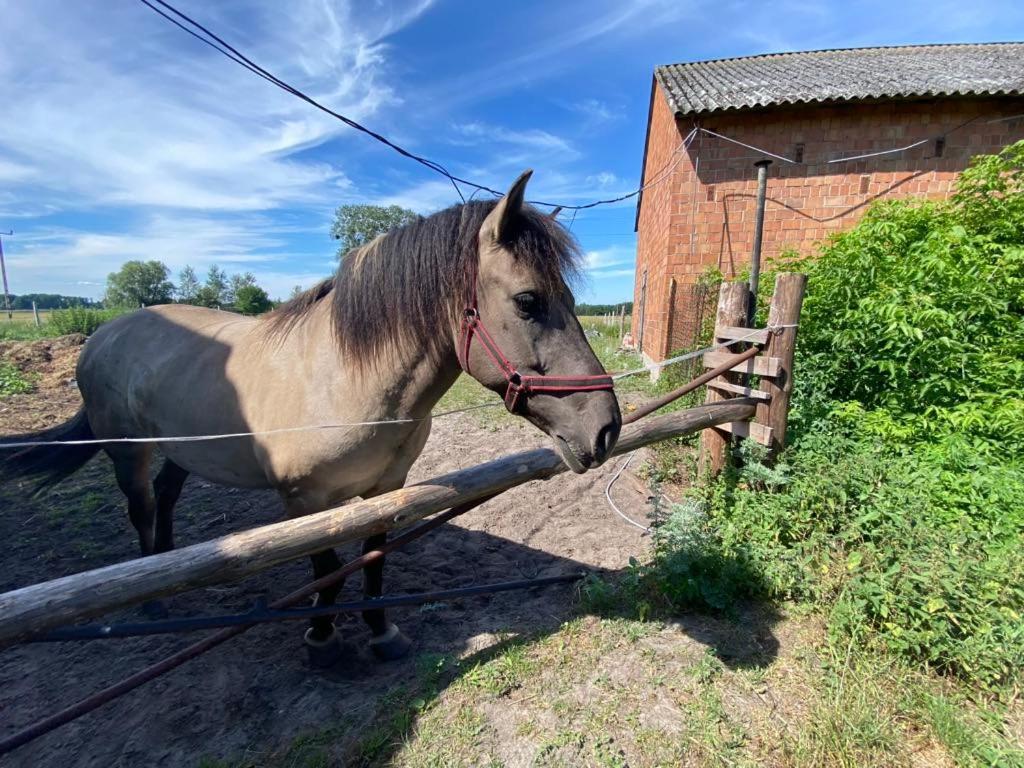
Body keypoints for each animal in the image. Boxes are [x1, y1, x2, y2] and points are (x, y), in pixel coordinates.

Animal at [0, 173, 618, 667]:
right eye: (528, 301)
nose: (606, 427)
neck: (345, 378)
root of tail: (104, 333)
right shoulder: (303, 501)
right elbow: (325, 567)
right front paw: (322, 640)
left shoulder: (386, 489)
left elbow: (371, 560)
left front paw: (382, 631)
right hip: (128, 451)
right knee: (142, 507)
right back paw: (152, 598)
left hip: (184, 448)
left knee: (167, 497)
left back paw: (175, 565)